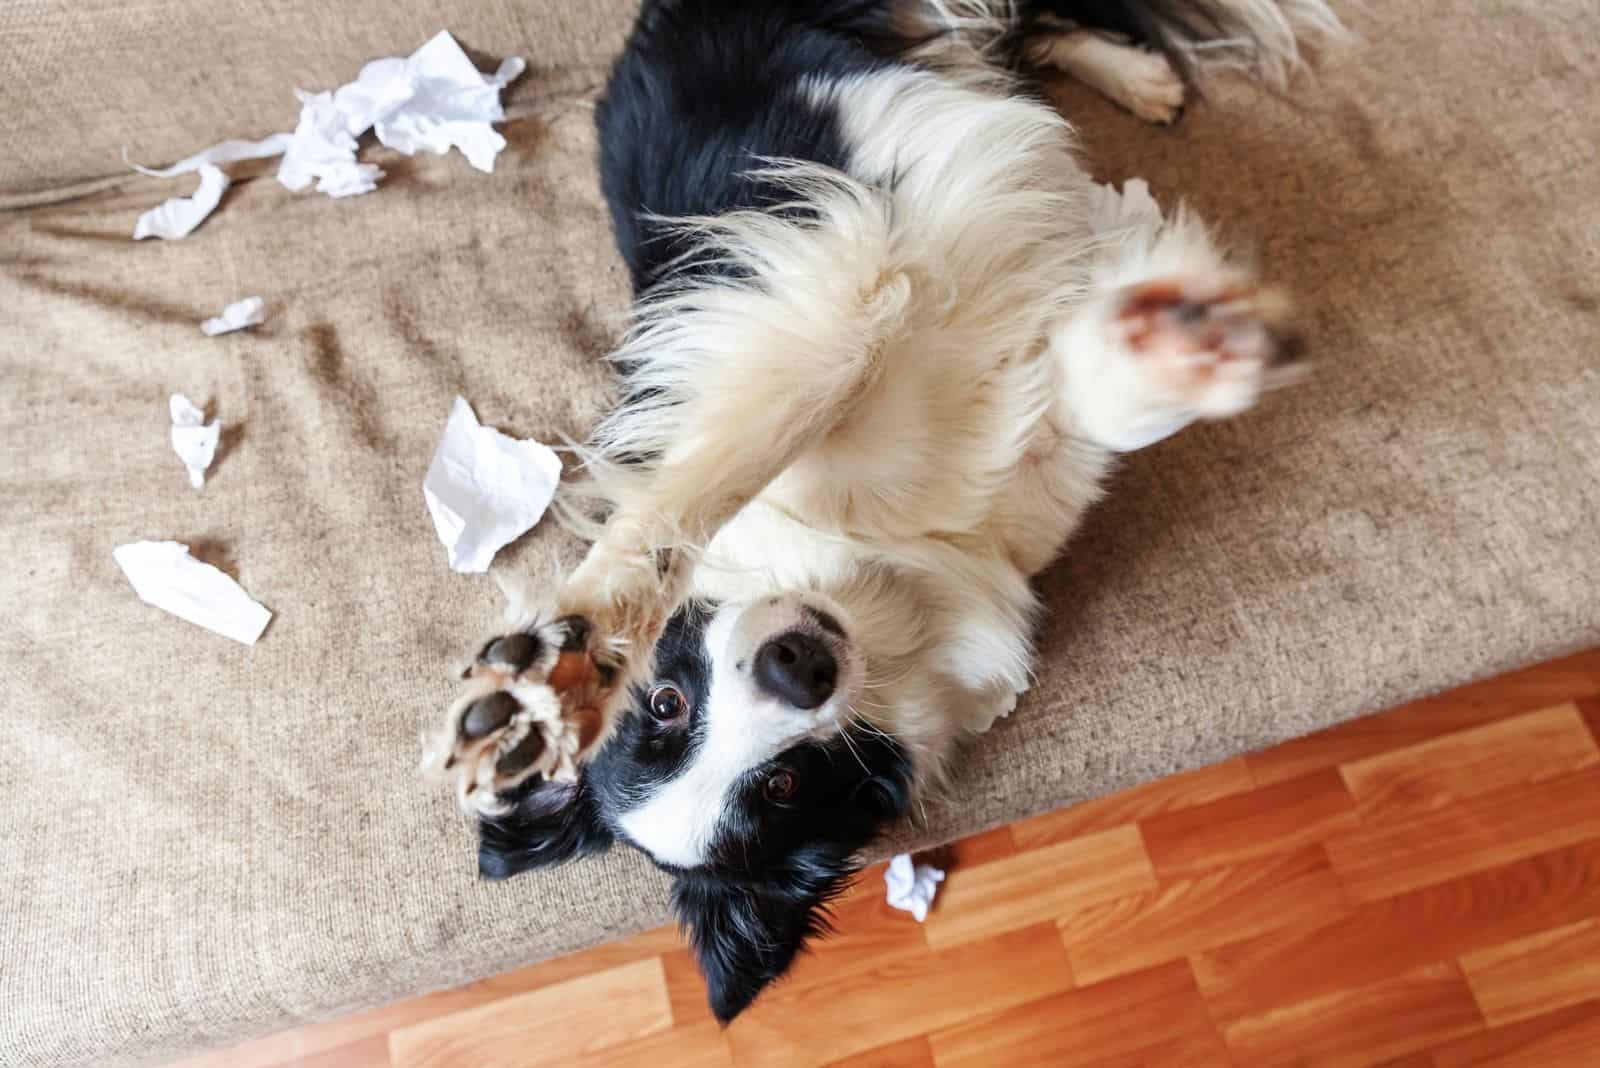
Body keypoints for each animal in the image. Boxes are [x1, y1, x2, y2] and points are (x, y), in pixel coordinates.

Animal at [422, 0, 1337, 1016]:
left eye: (664, 701)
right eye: (782, 786)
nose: (797, 668)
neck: (878, 564)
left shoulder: (819, 295)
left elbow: (723, 466)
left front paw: (555, 676)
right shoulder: (1029, 448)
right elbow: (1105, 398)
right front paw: (1188, 345)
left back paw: (1134, 79)